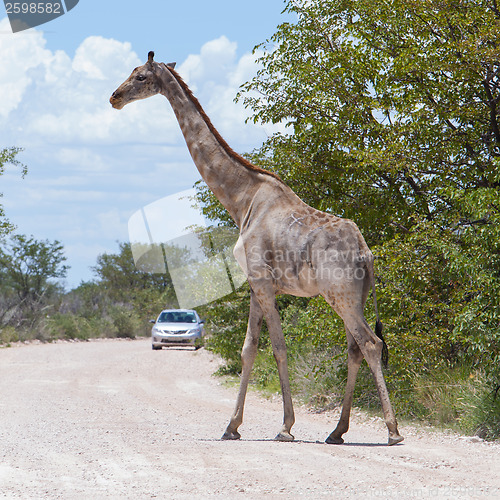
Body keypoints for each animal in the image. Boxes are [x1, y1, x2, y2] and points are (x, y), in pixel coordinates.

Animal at [109, 51, 402, 446]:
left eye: (139, 76)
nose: (114, 97)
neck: (241, 199)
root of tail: (366, 254)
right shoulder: (254, 285)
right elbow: (248, 349)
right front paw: (232, 426)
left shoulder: (263, 282)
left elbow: (277, 347)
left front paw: (285, 427)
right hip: (352, 296)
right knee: (355, 348)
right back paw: (337, 431)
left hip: (340, 294)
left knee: (370, 344)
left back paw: (392, 431)